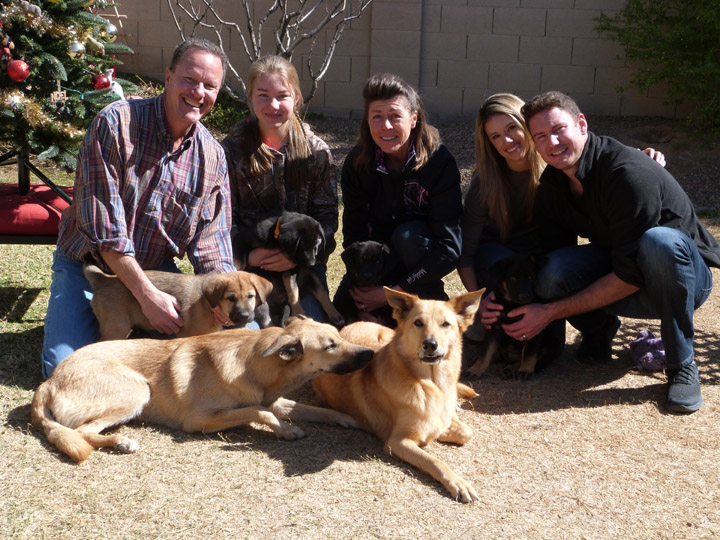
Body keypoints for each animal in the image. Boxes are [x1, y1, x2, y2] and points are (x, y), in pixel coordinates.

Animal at [31, 314, 374, 462]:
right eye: (331, 346)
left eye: (339, 336)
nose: (370, 354)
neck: (256, 365)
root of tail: (47, 383)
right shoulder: (199, 420)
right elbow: (259, 412)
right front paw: (285, 430)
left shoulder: (276, 399)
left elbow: (316, 410)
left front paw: (350, 419)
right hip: (138, 390)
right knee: (82, 432)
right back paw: (121, 442)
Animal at [83, 264, 272, 340]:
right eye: (230, 298)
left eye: (251, 296)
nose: (245, 316)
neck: (207, 305)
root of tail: (104, 279)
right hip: (116, 328)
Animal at [310, 288, 484, 504]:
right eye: (418, 323)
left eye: (445, 324)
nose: (430, 345)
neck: (430, 383)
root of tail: (346, 327)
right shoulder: (396, 442)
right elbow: (434, 461)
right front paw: (458, 482)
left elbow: (464, 432)